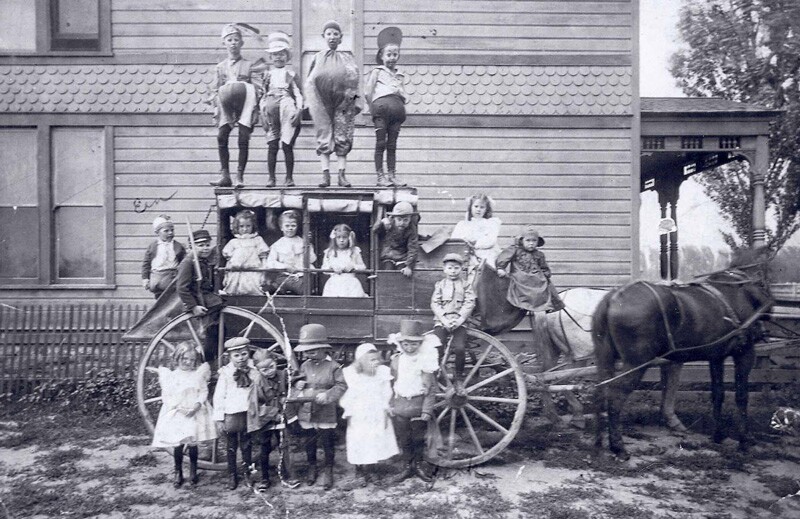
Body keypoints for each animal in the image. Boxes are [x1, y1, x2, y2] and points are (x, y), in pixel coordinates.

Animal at [592, 250, 772, 462]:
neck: (737, 290)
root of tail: (613, 298)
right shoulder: (744, 353)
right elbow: (741, 396)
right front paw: (744, 441)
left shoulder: (716, 357)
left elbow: (718, 394)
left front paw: (718, 435)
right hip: (636, 363)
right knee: (615, 397)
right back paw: (618, 447)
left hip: (605, 357)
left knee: (600, 392)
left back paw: (598, 443)